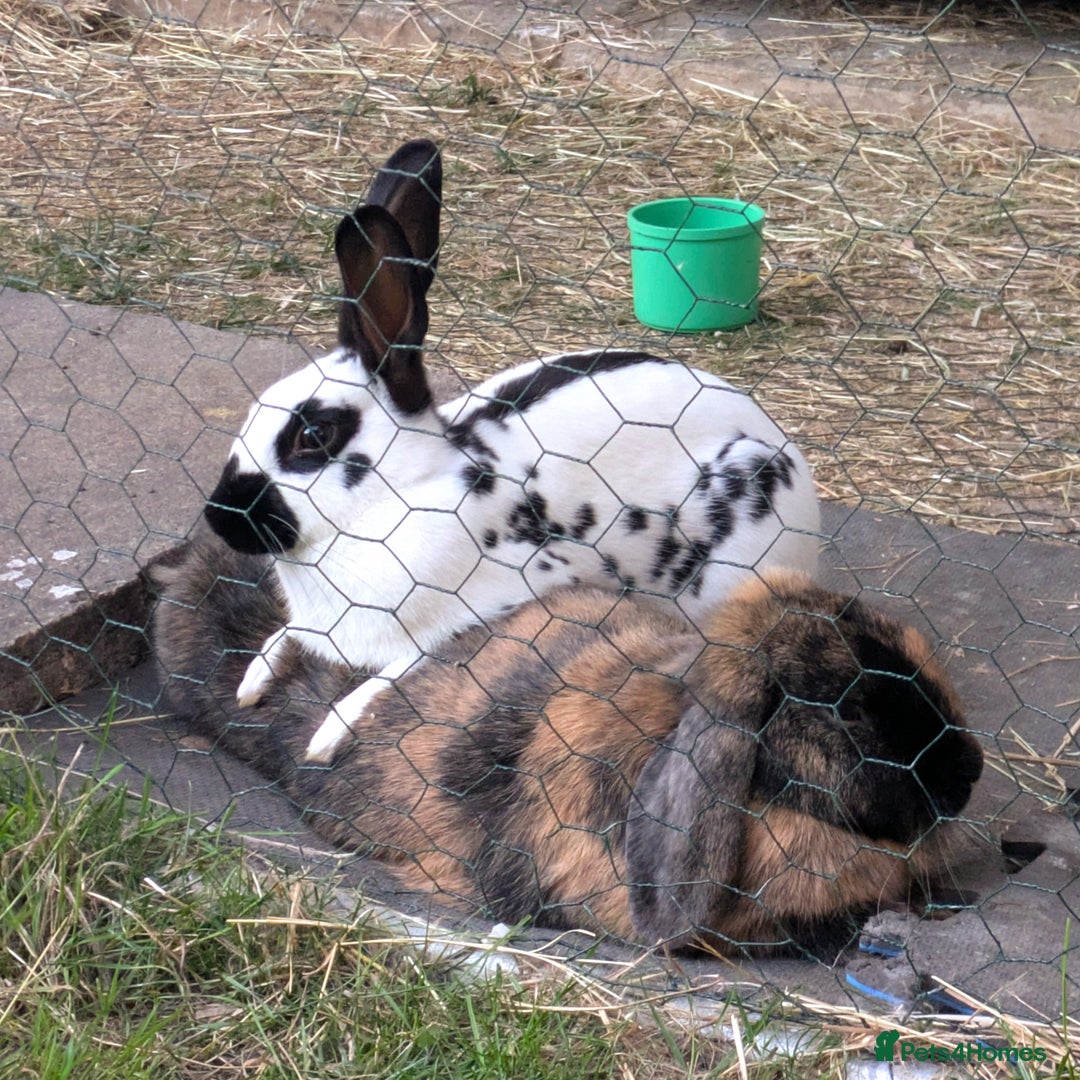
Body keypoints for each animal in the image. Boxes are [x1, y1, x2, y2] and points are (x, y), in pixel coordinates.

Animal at [202, 137, 822, 765]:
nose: (219, 517)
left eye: (314, 436)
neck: (398, 497)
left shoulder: (491, 599)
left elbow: (397, 670)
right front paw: (251, 681)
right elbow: (284, 636)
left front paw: (326, 736)